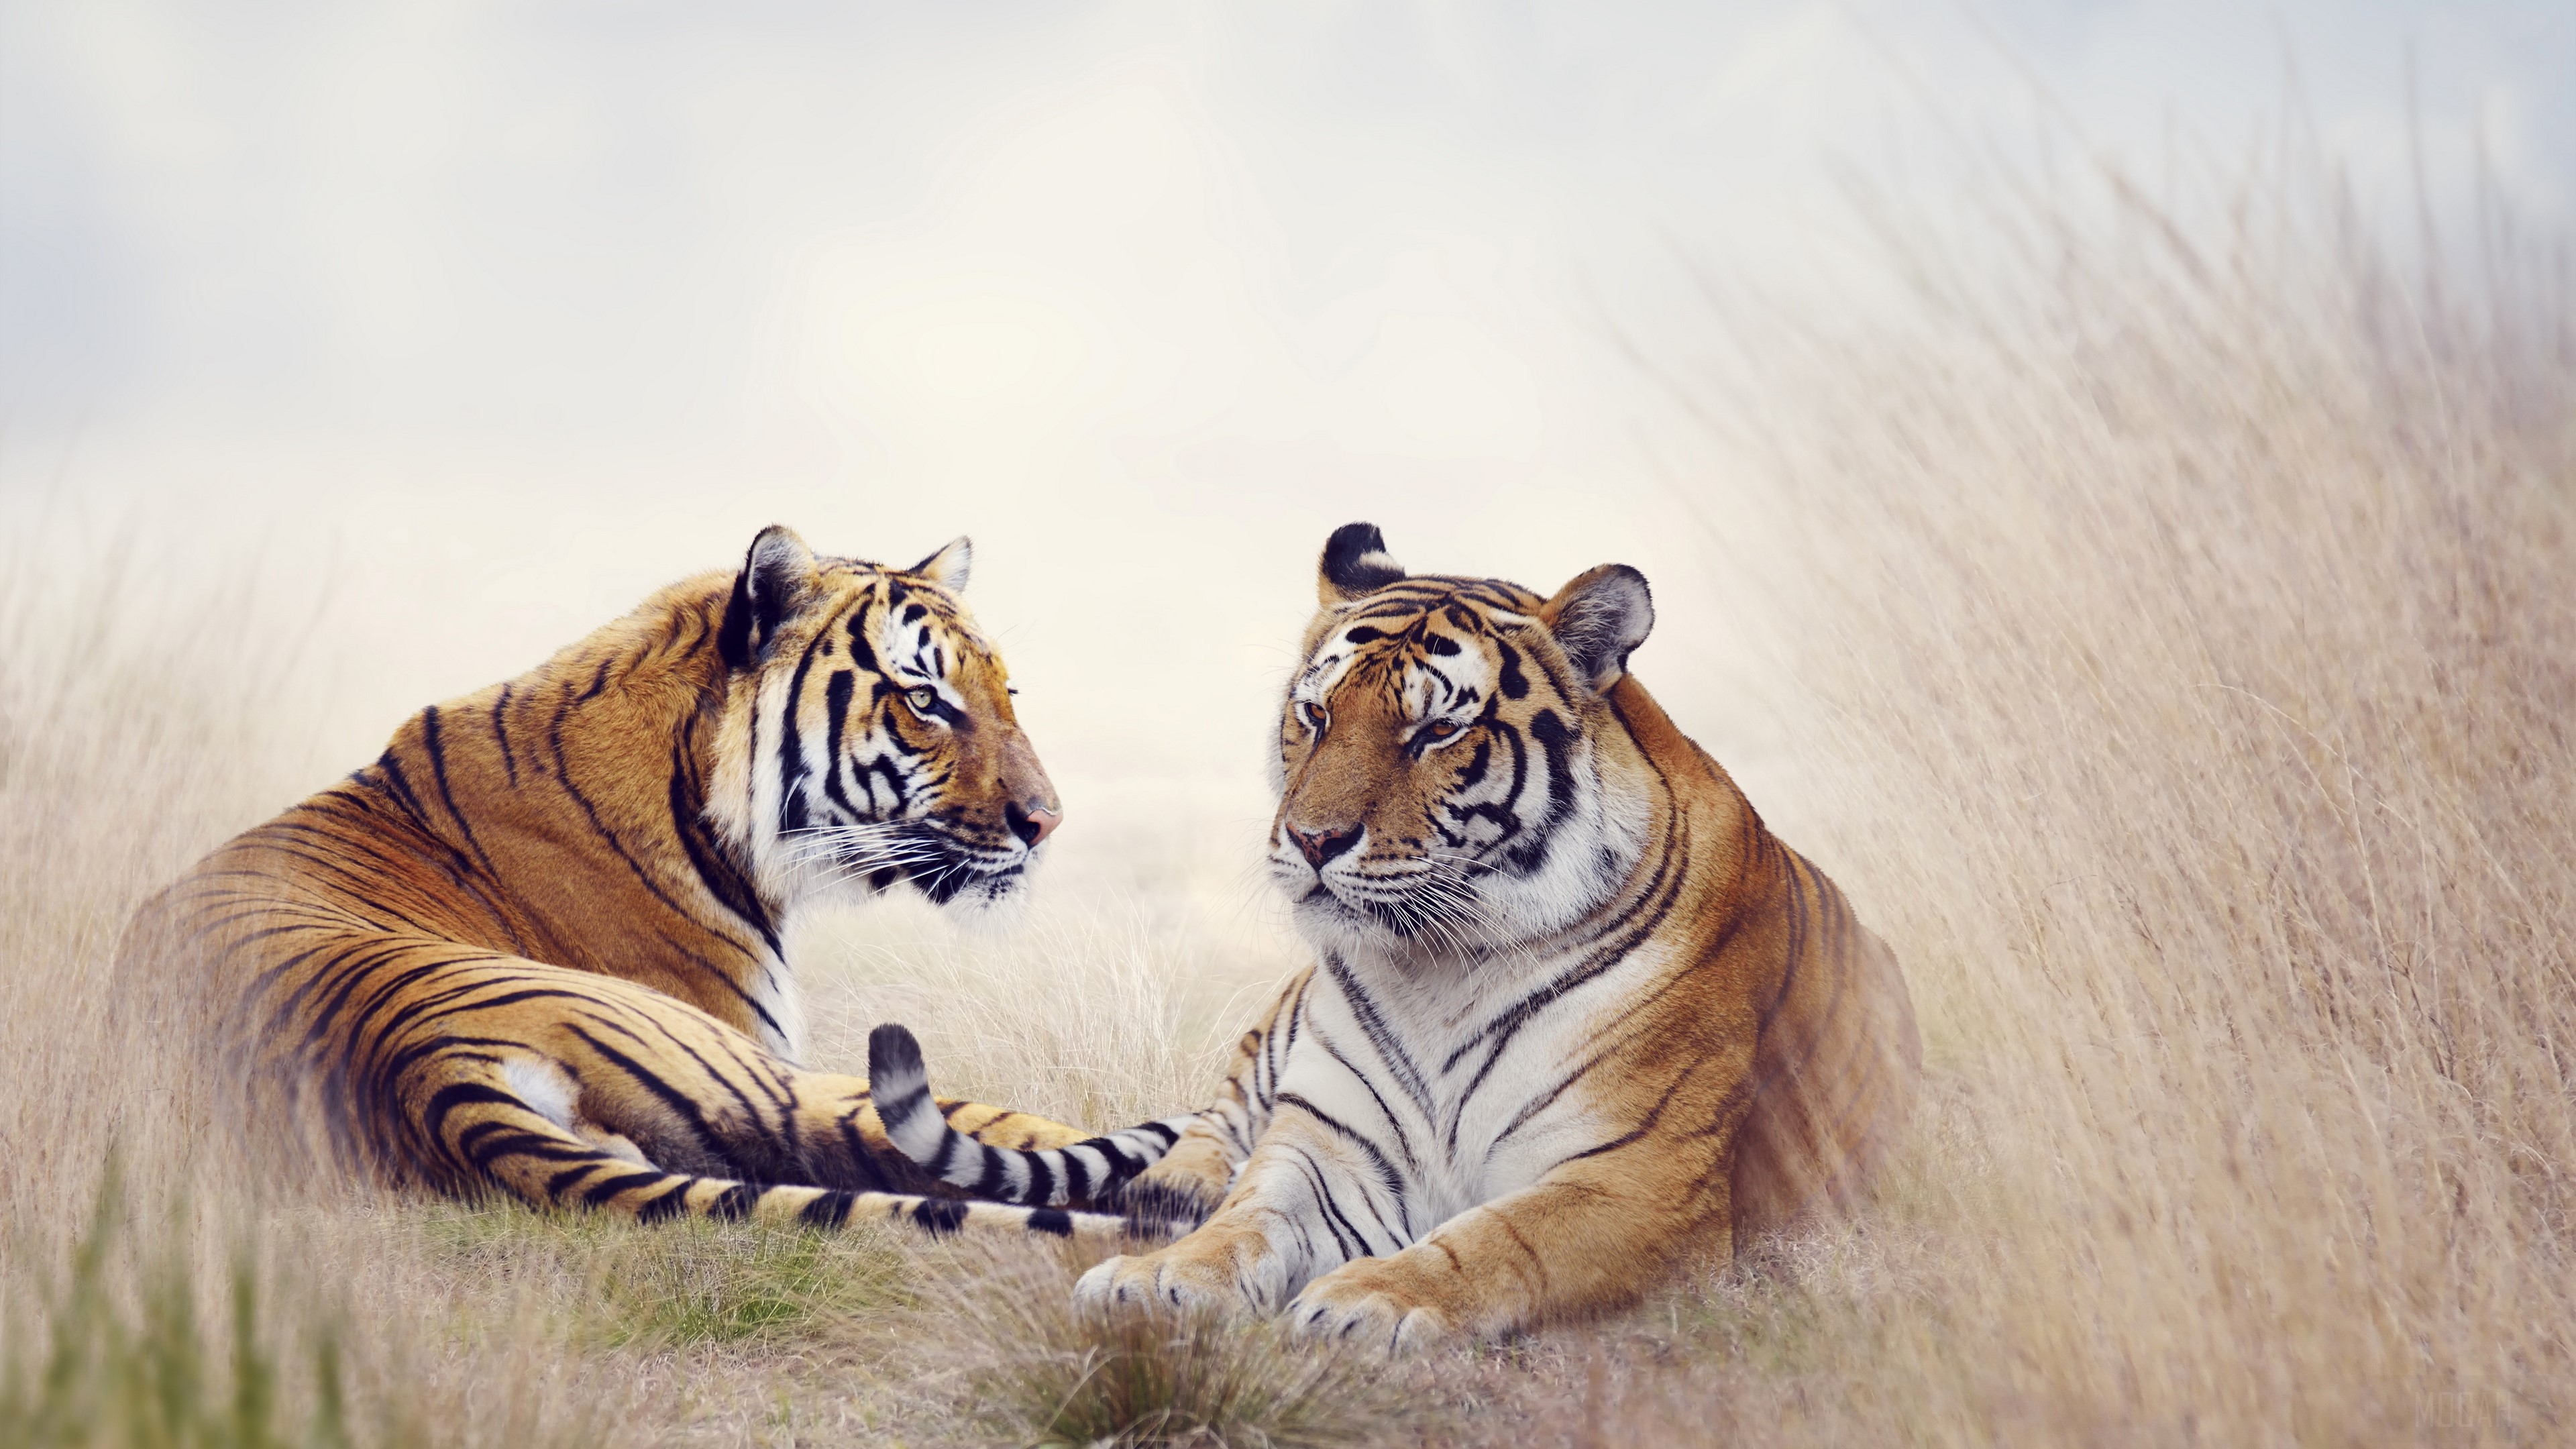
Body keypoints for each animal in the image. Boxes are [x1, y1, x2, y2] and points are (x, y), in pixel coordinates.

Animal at [866, 521, 1923, 1345]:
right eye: (1314, 713)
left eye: (1435, 733)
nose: (1311, 839)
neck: (1443, 967)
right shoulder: (1327, 1146)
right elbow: (1250, 1215)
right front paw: (1162, 1277)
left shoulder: (1640, 1178)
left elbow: (1500, 1236)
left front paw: (1370, 1300)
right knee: (1213, 1128)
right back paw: (1174, 1190)